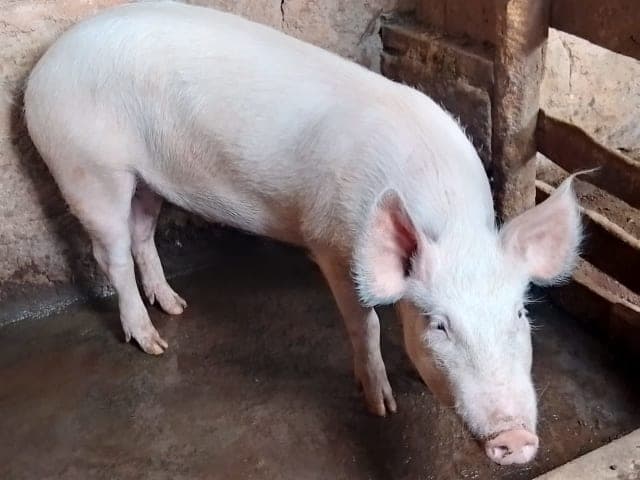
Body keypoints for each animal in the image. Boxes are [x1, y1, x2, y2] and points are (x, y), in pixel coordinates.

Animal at [24, 1, 582, 465]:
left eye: (519, 314)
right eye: (439, 324)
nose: (516, 437)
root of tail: (45, 65)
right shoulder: (332, 245)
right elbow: (366, 324)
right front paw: (382, 407)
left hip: (146, 178)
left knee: (142, 234)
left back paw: (176, 307)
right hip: (87, 170)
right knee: (111, 254)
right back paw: (153, 343)